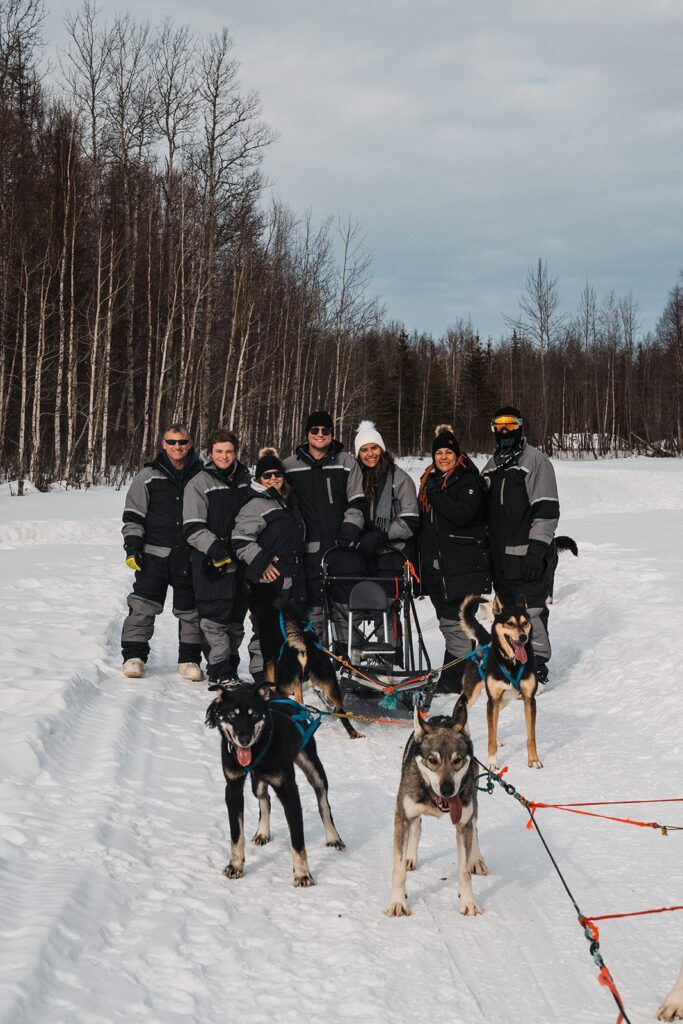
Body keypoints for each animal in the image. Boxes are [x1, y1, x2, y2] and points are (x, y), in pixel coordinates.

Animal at [204, 679, 344, 888]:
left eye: (253, 715)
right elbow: (236, 835)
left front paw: (302, 874)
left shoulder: (289, 792)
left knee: (323, 803)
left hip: (314, 769)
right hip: (257, 783)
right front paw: (235, 865)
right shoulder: (233, 789)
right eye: (232, 715)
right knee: (265, 799)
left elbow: (297, 841)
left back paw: (333, 837)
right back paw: (263, 832)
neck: (257, 750)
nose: (244, 740)